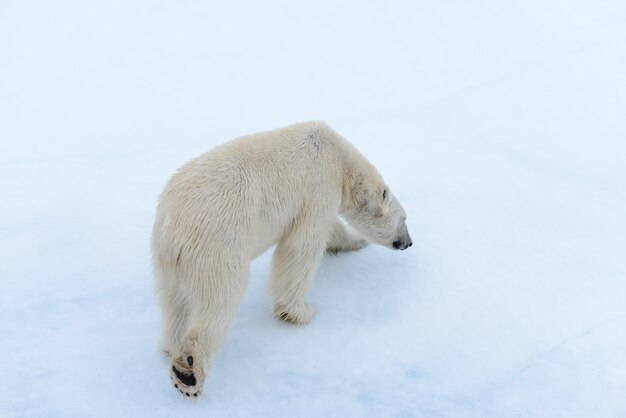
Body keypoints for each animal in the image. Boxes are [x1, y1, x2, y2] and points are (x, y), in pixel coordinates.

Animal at [151, 120, 410, 396]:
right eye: (404, 219)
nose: (408, 242)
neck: (339, 158)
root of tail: (173, 226)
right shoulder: (319, 188)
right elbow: (302, 247)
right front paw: (301, 312)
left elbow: (330, 230)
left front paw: (355, 241)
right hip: (219, 246)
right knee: (221, 298)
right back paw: (187, 371)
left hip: (167, 263)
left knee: (175, 304)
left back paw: (170, 346)